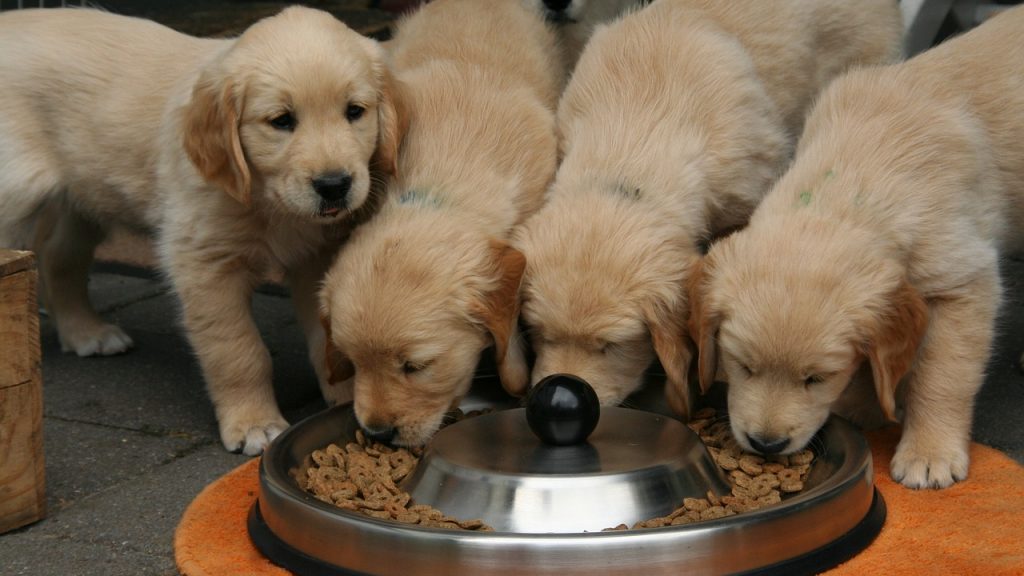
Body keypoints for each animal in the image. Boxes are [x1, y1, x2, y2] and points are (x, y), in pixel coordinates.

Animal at [0, 5, 399, 453]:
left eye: (355, 111)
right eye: (281, 121)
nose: (334, 185)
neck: (266, 199)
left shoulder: (318, 255)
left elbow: (327, 336)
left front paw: (345, 399)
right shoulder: (203, 263)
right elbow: (238, 351)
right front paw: (253, 422)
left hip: (83, 196)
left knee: (57, 256)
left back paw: (85, 332)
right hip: (18, 191)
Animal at [684, 6, 1024, 485]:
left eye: (817, 378)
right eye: (743, 366)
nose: (766, 444)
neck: (852, 182)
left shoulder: (963, 282)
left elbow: (943, 376)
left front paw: (930, 452)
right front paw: (864, 406)